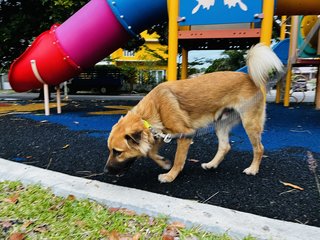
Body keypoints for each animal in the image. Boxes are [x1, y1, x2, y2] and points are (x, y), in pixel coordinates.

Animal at [106, 43, 284, 182]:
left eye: (118, 152)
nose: (105, 171)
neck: (152, 110)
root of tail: (249, 78)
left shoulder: (185, 135)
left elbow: (178, 160)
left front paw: (170, 175)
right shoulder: (163, 134)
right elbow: (151, 152)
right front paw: (164, 163)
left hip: (250, 123)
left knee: (259, 148)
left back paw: (253, 169)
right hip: (220, 124)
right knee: (225, 146)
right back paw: (212, 164)